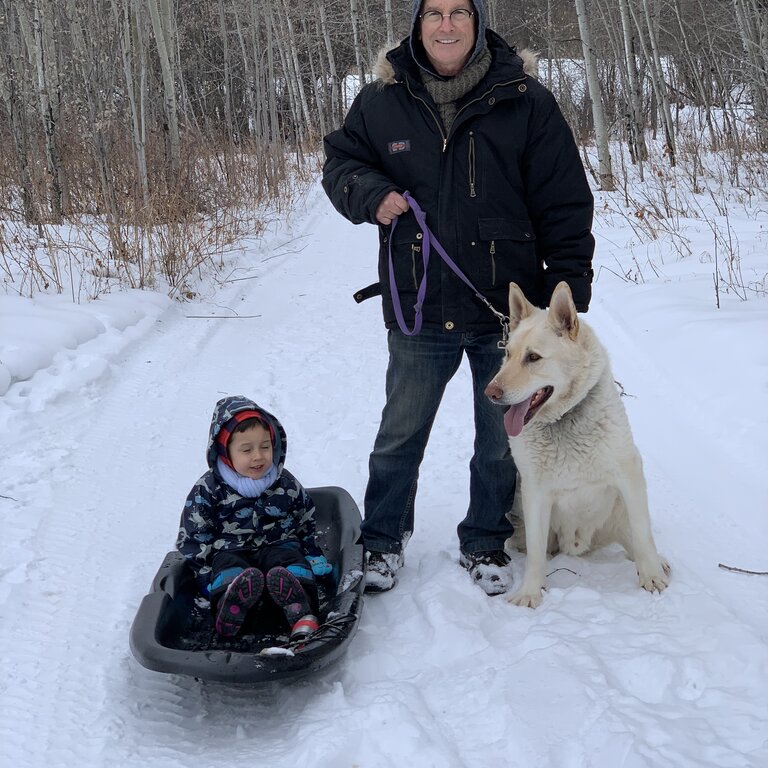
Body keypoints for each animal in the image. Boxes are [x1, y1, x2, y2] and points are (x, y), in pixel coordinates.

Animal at [486, 280, 672, 608]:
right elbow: (535, 553)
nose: (490, 392)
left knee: (635, 539)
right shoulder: (534, 492)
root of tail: (576, 545)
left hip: (617, 512)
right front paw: (530, 592)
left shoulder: (629, 473)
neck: (563, 420)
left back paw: (655, 562)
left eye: (533, 357)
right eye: (507, 353)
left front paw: (651, 576)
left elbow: (643, 532)